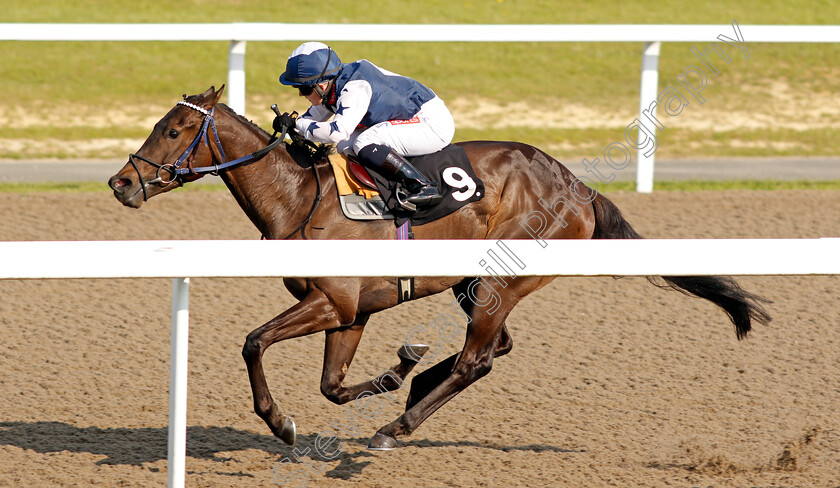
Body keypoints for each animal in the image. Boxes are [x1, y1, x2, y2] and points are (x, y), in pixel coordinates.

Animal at [108, 86, 772, 450]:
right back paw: (415, 385)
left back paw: (395, 426)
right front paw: (393, 371)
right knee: (494, 348)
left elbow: (253, 343)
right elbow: (332, 385)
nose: (121, 184)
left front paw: (280, 422)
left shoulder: (332, 301)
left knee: (480, 358)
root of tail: (578, 188)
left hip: (500, 280)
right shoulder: (349, 311)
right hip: (472, 282)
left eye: (175, 129)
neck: (299, 198)